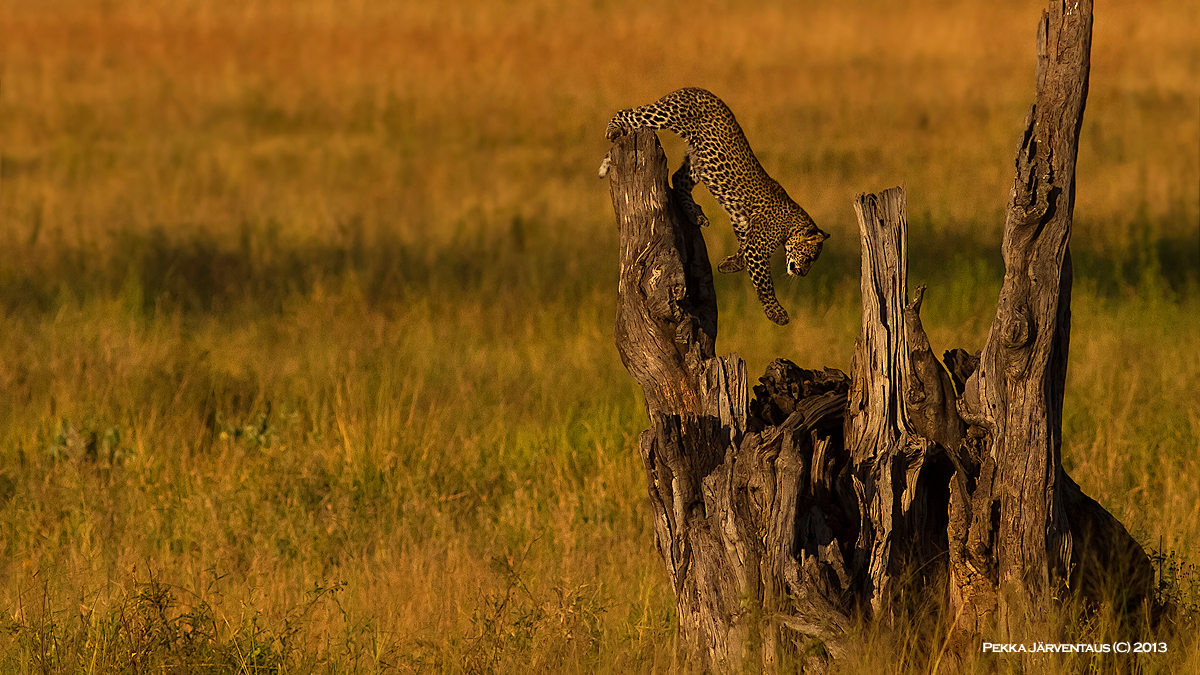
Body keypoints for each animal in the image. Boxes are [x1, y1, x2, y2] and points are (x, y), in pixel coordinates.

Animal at [600, 86, 825, 326]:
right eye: (809, 258)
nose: (802, 273)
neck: (791, 225)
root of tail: (697, 89)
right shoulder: (758, 248)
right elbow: (764, 283)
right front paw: (776, 313)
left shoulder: (743, 224)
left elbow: (743, 247)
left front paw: (730, 264)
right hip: (668, 116)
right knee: (630, 113)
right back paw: (613, 128)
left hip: (698, 161)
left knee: (678, 178)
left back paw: (695, 215)